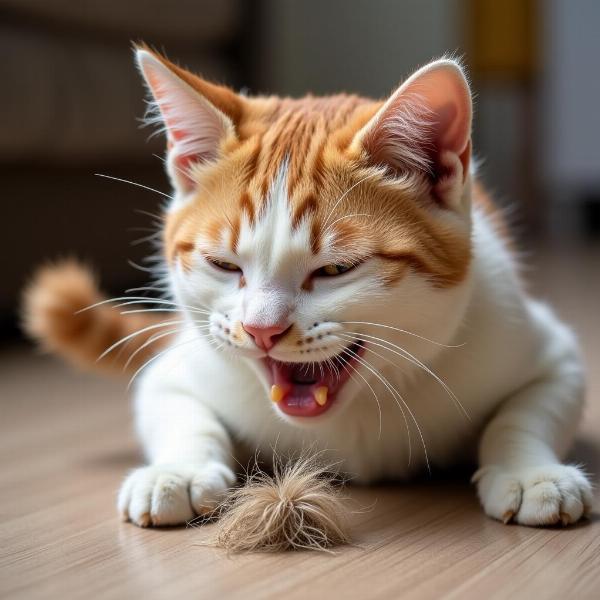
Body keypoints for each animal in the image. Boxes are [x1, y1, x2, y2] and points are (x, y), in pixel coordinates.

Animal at [24, 50, 592, 528]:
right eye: (223, 265)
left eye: (336, 269)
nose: (261, 329)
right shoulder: (175, 370)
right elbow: (179, 410)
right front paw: (179, 471)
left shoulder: (545, 348)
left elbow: (526, 411)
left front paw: (531, 472)